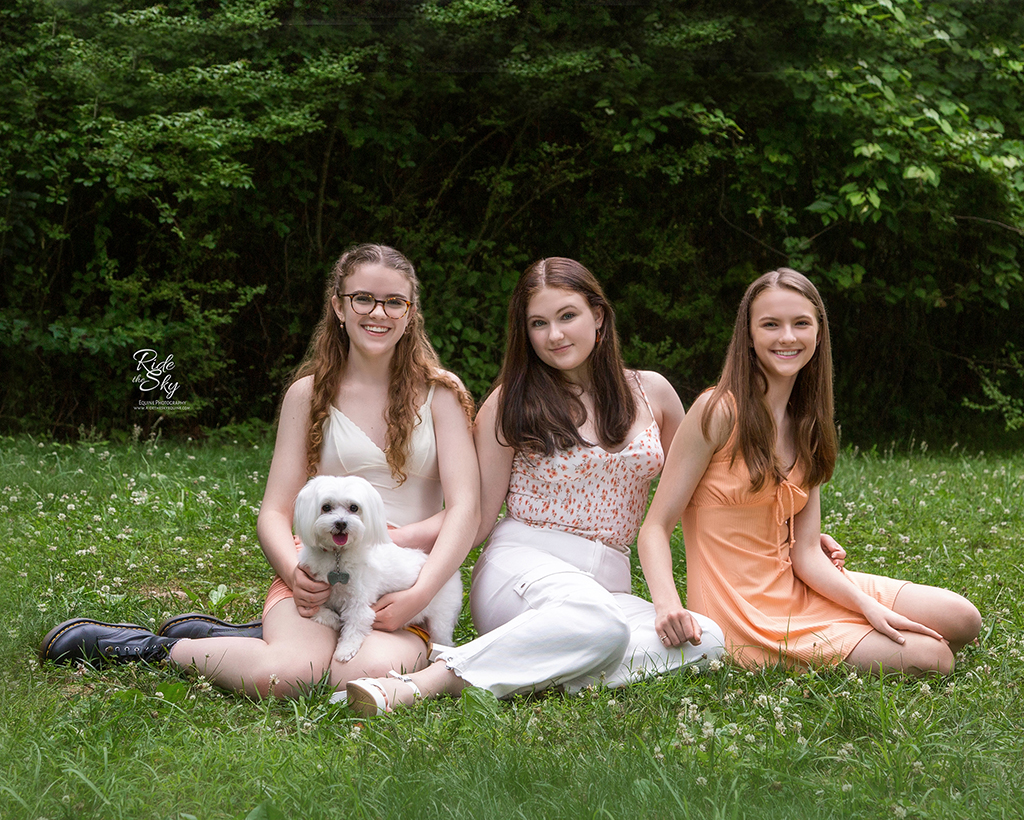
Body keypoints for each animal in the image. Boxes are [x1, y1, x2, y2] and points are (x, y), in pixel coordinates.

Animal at [290, 472, 462, 659]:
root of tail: (454, 575)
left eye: (354, 508)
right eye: (326, 507)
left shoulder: (359, 602)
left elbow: (355, 626)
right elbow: (315, 608)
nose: (341, 523)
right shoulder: (313, 590)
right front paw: (334, 620)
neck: (338, 555)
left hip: (441, 620)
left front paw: (345, 649)